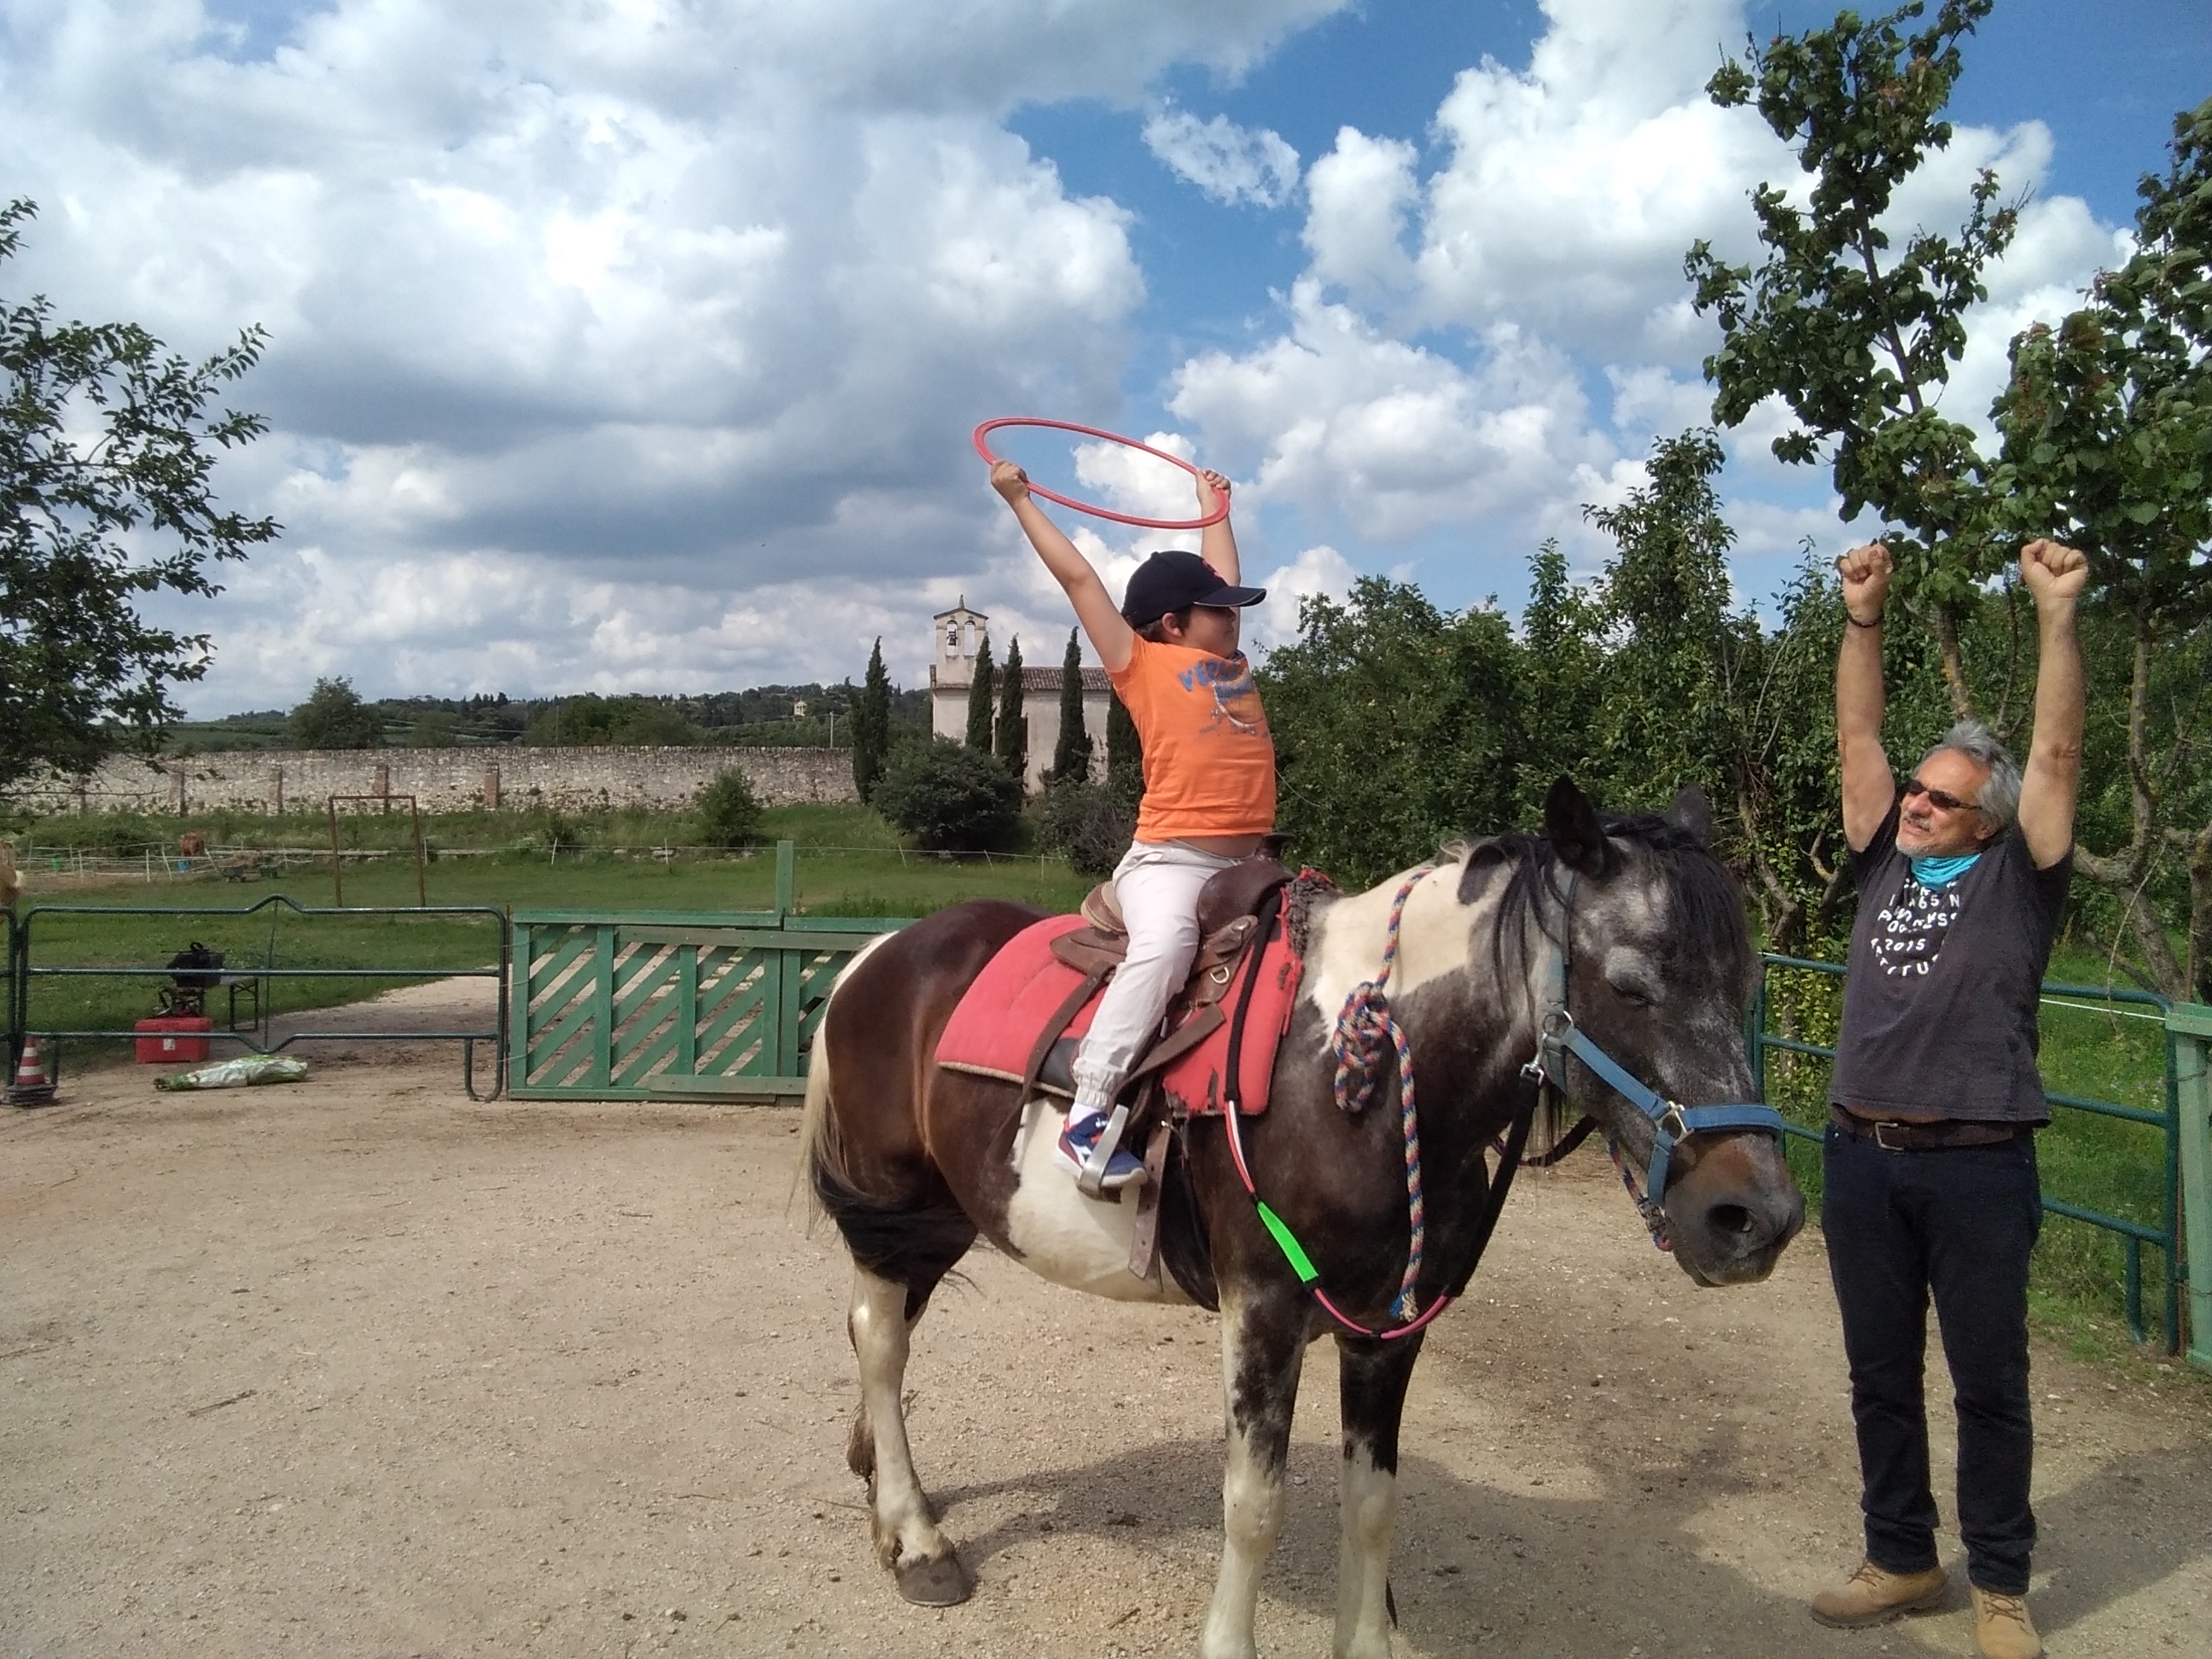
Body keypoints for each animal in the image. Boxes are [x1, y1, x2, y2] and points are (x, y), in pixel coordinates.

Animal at [799, 779, 1804, 1658]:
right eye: (1631, 986)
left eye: (1748, 982)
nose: (1758, 1216)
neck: (1360, 1081)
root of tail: (876, 955)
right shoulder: (1264, 1314)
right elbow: (1255, 1506)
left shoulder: (1389, 1332)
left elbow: (1373, 1504)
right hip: (897, 1209)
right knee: (880, 1343)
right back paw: (917, 1542)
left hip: (935, 1221)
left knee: (880, 1336)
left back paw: (878, 1485)